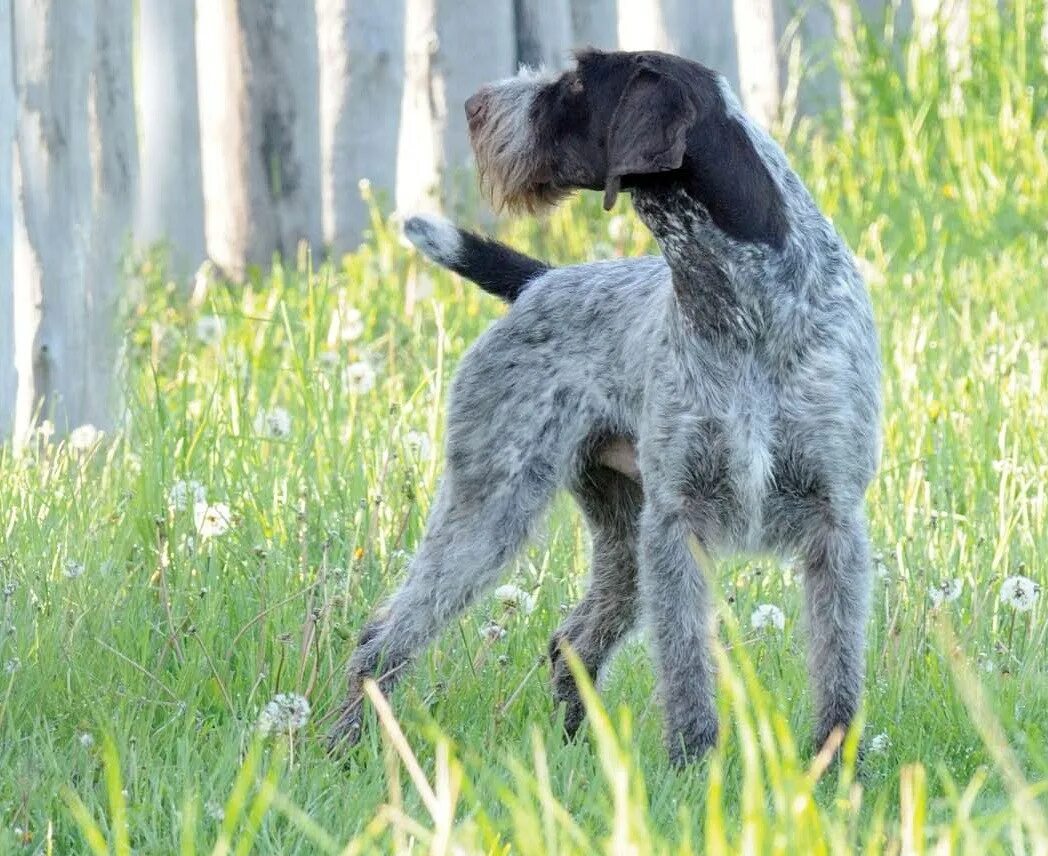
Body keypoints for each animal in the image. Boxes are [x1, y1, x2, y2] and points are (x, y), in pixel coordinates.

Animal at [329, 50, 884, 762]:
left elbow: (837, 668)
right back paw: (344, 745)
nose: (475, 107)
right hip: (492, 511)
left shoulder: (834, 522)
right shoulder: (677, 520)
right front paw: (692, 767)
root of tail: (538, 280)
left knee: (571, 644)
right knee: (386, 638)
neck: (746, 306)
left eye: (573, 82)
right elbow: (685, 667)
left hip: (617, 536)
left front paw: (834, 768)